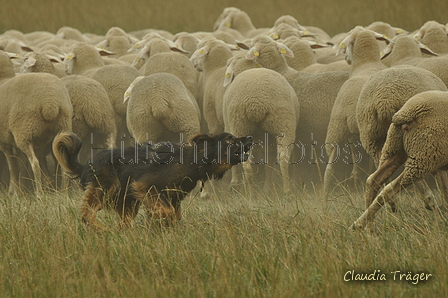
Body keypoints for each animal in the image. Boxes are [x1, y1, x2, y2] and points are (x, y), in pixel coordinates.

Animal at [52, 132, 252, 229]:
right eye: (229, 139)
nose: (251, 137)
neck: (192, 161)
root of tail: (86, 164)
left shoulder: (173, 197)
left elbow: (175, 215)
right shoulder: (145, 186)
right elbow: (167, 212)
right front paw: (158, 218)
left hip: (127, 203)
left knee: (121, 223)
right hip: (108, 187)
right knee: (87, 214)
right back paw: (101, 230)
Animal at [354, 90, 448, 230]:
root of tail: (406, 112)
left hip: (395, 148)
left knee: (373, 180)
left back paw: (369, 230)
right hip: (424, 157)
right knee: (389, 188)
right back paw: (359, 224)